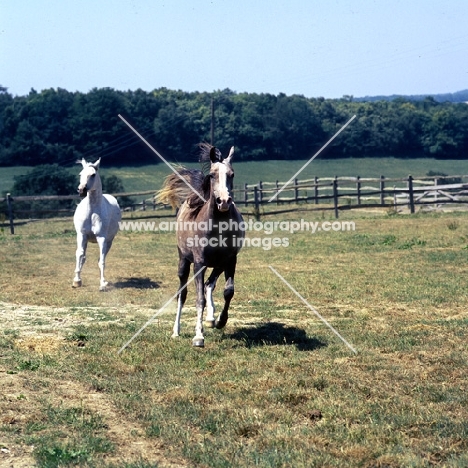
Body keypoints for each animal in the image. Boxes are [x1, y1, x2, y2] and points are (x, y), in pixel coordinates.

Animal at [72, 159, 120, 290]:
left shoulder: (101, 238)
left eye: (93, 174)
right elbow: (80, 255)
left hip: (109, 241)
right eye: (80, 174)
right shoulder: (81, 235)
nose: (81, 190)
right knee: (83, 257)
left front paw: (102, 283)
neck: (92, 211)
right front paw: (76, 281)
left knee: (101, 258)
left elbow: (102, 260)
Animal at [158, 144, 245, 346]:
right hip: (184, 262)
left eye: (232, 174)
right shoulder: (199, 264)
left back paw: (211, 319)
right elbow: (199, 300)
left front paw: (220, 321)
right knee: (182, 294)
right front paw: (198, 336)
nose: (223, 201)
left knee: (209, 284)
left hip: (218, 265)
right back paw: (176, 330)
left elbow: (228, 291)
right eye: (212, 175)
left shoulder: (231, 261)